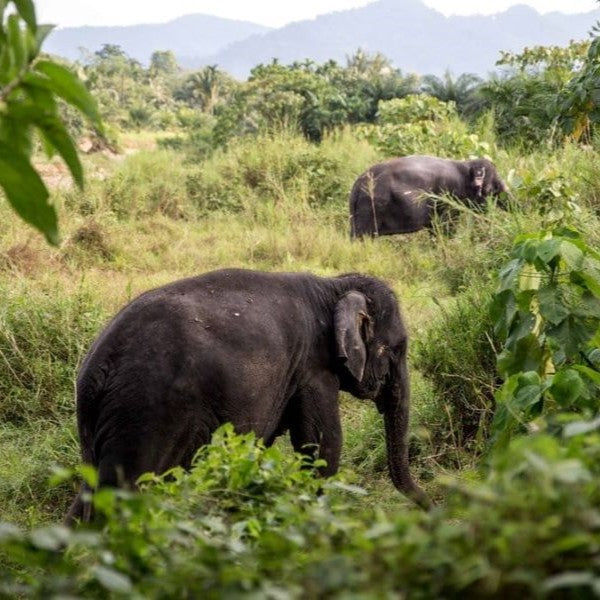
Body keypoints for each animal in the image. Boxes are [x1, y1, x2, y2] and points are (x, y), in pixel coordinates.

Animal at [65, 268, 428, 520]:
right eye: (398, 348)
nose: (432, 505)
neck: (333, 287)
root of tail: (102, 364)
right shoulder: (313, 369)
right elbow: (322, 448)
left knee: (90, 490)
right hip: (148, 409)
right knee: (125, 490)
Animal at [350, 155, 508, 239]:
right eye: (492, 189)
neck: (465, 164)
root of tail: (357, 184)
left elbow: (435, 228)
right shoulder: (448, 195)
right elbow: (446, 226)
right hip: (371, 206)